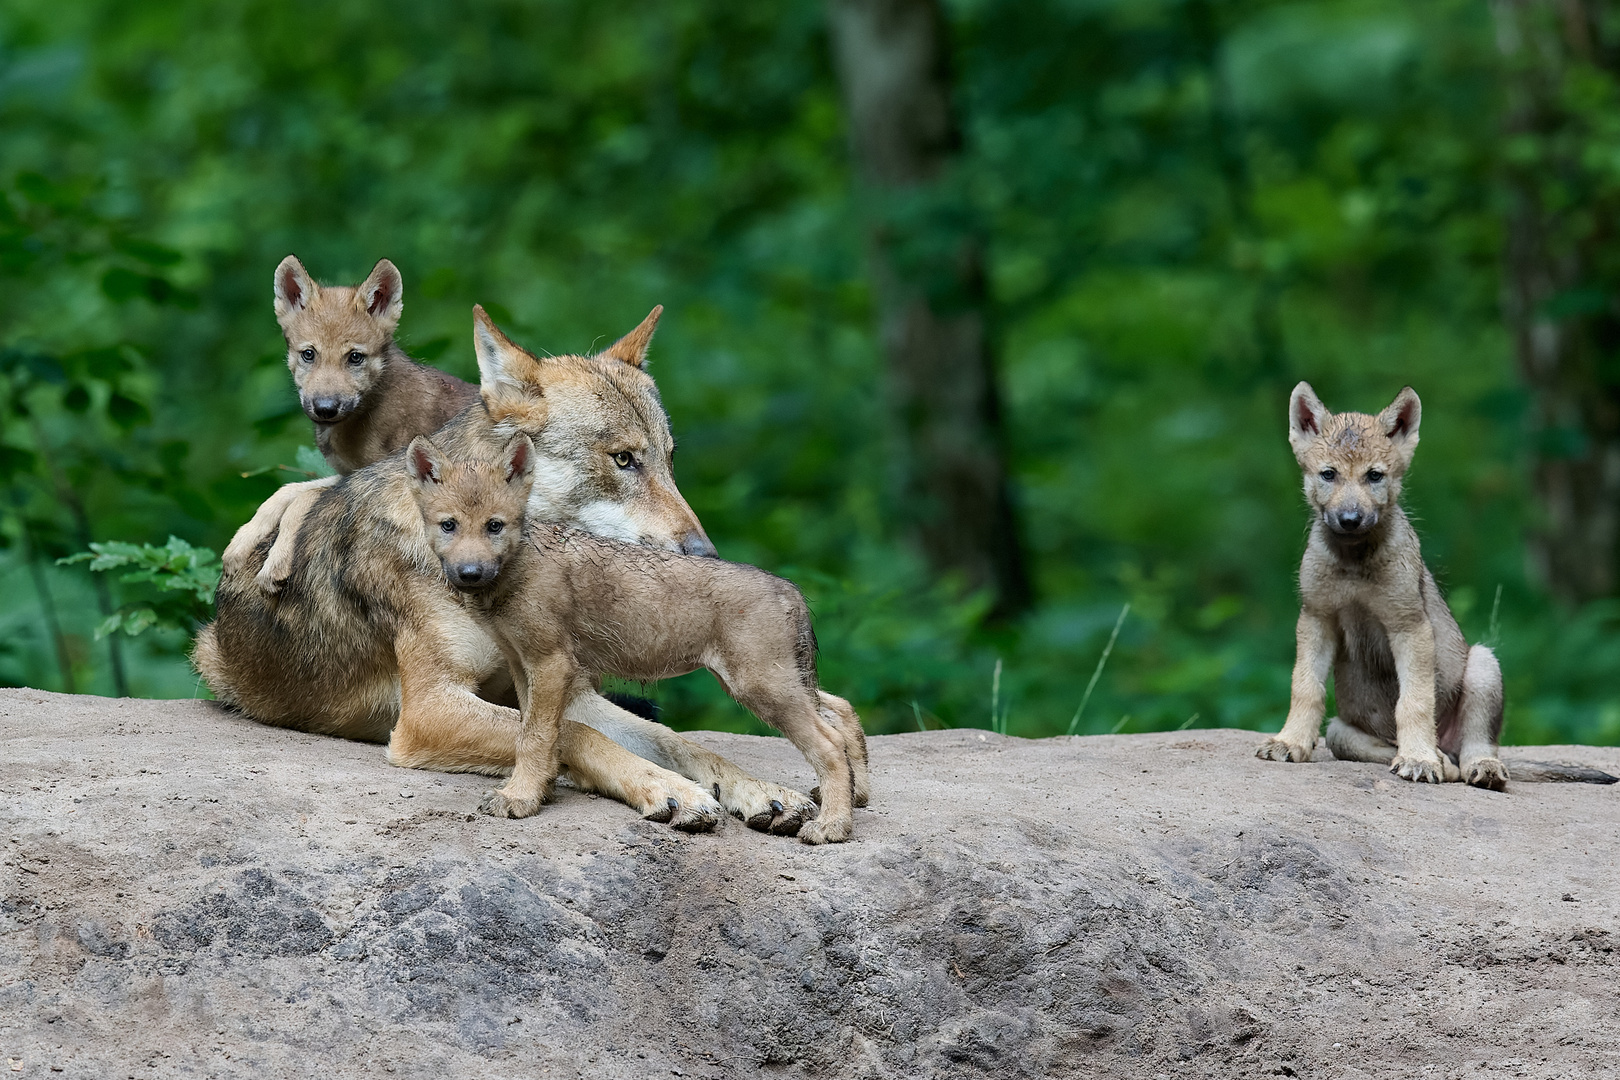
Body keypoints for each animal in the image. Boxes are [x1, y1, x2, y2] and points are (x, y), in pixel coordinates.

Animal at [192, 307, 822, 835]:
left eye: (669, 460)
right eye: (623, 460)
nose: (706, 555)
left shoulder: (564, 687)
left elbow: (679, 741)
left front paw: (759, 789)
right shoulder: (428, 711)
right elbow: (574, 737)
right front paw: (671, 790)